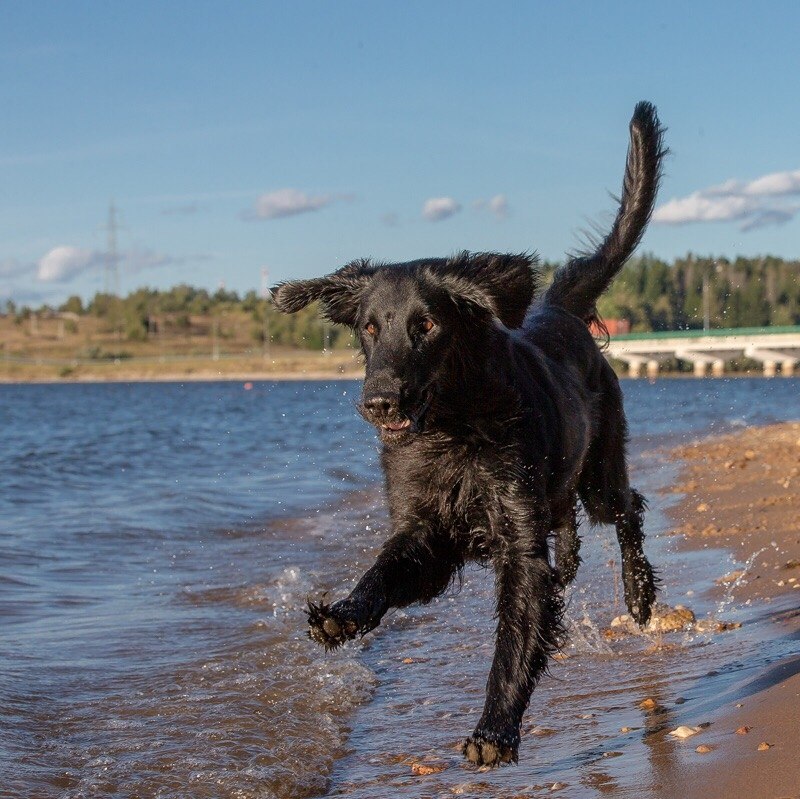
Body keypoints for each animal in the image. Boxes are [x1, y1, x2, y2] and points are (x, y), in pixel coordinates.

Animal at [272, 101, 664, 768]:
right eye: (369, 327)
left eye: (426, 324)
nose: (378, 402)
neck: (451, 430)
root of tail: (559, 309)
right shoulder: (426, 531)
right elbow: (384, 571)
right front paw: (343, 615)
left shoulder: (517, 541)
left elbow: (515, 638)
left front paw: (494, 729)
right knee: (571, 528)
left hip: (600, 472)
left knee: (627, 506)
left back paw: (638, 594)